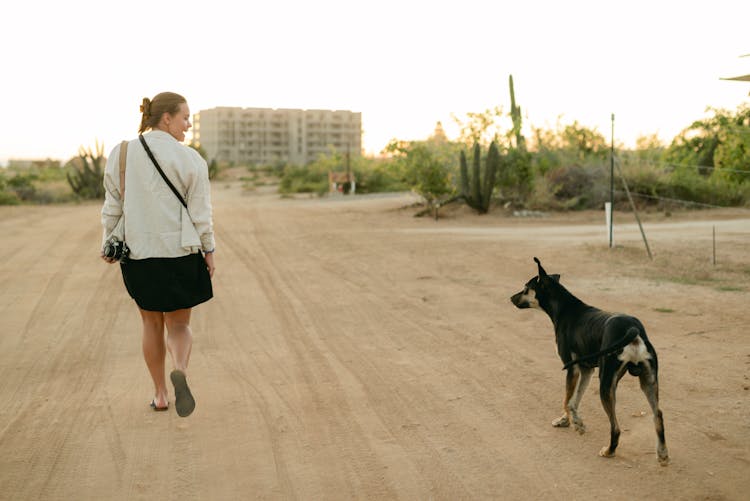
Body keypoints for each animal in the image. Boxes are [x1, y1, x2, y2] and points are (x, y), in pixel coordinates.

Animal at [512, 258, 668, 464]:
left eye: (525, 288)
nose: (511, 298)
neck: (565, 308)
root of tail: (633, 329)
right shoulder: (586, 370)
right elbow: (574, 399)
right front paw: (568, 420)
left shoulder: (572, 369)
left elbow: (567, 400)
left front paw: (576, 423)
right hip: (648, 382)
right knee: (658, 415)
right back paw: (662, 453)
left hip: (606, 384)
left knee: (616, 427)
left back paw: (609, 451)